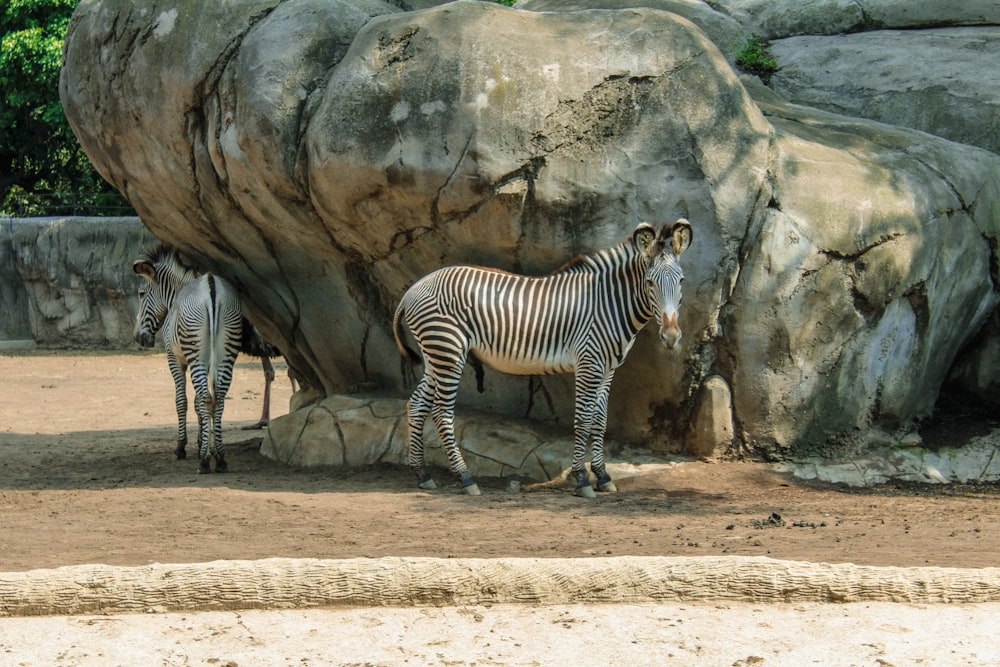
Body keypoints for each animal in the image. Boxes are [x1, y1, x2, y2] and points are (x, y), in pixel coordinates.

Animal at [392, 219, 696, 496]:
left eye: (681, 281)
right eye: (650, 283)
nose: (671, 336)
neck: (609, 304)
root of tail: (413, 289)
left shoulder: (608, 368)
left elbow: (600, 421)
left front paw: (603, 476)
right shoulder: (588, 363)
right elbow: (583, 419)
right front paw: (582, 480)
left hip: (435, 354)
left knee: (417, 404)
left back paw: (422, 474)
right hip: (448, 350)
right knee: (442, 412)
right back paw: (466, 479)